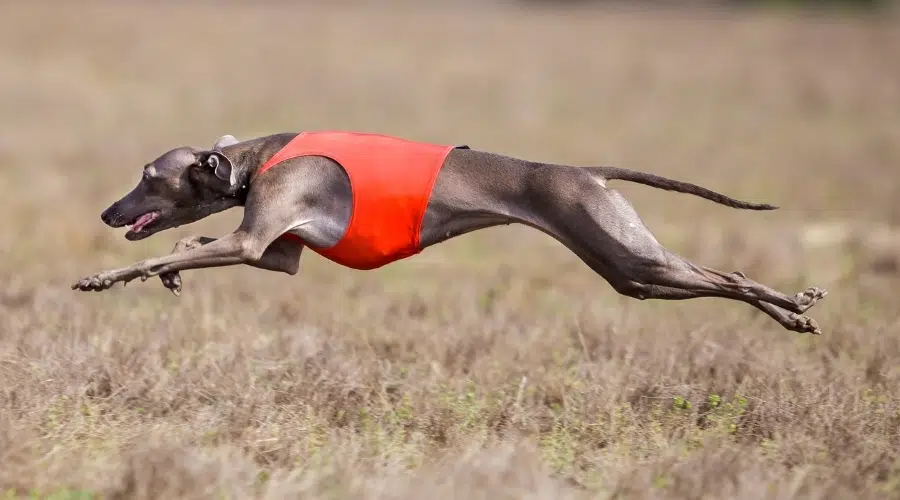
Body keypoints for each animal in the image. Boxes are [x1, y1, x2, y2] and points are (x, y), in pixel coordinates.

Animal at [74, 133, 828, 336]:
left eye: (148, 176)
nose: (108, 213)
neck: (255, 161)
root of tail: (586, 171)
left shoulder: (252, 242)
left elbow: (158, 255)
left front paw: (100, 277)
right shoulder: (275, 253)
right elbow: (184, 247)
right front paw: (172, 271)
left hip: (633, 261)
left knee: (728, 275)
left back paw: (794, 305)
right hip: (627, 270)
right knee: (720, 278)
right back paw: (792, 312)